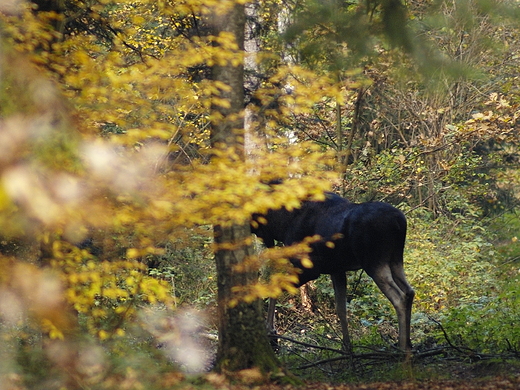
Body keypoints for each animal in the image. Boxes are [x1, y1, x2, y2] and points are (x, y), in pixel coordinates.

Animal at [252, 190, 414, 354]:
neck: (283, 224)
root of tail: (399, 222)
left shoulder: (310, 269)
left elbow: (273, 290)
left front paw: (270, 333)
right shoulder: (337, 270)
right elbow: (341, 309)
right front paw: (347, 347)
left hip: (374, 262)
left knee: (399, 297)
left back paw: (402, 348)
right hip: (395, 259)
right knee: (409, 291)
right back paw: (408, 343)